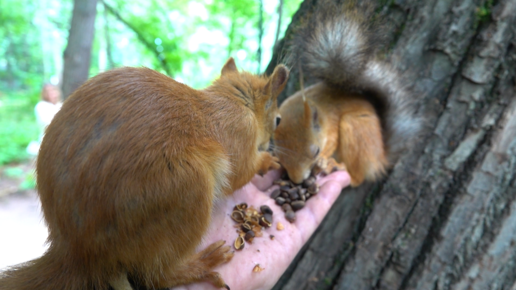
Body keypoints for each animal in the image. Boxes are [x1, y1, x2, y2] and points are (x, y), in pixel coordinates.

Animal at [0, 57, 290, 288]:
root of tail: (79, 253)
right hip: (187, 190)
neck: (233, 99)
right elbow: (240, 173)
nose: (270, 143)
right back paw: (203, 264)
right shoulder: (241, 134)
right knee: (155, 276)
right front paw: (267, 160)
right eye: (278, 119)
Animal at [272, 0, 422, 186]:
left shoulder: (332, 125)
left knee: (356, 177)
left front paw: (322, 160)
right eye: (279, 156)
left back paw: (337, 166)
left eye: (316, 151)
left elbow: (332, 141)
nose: (297, 180)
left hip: (355, 129)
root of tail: (380, 159)